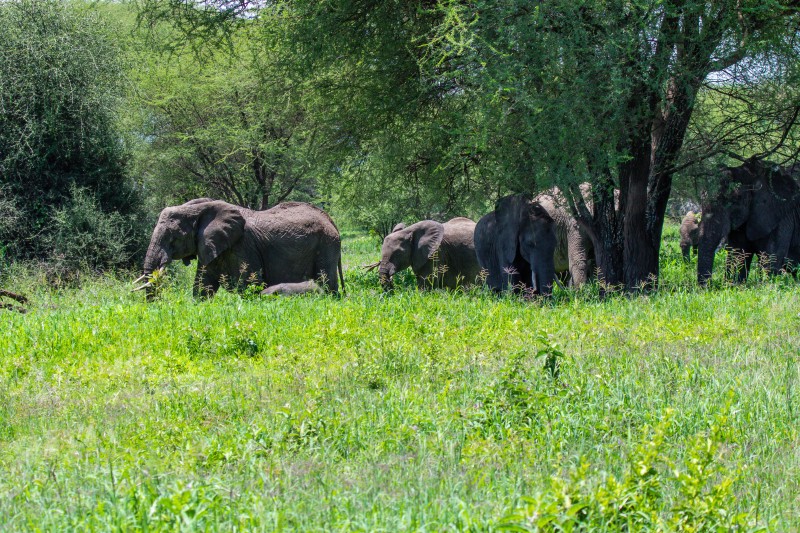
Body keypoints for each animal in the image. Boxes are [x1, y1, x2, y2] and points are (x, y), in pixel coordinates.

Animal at [138, 200, 344, 298]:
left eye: (174, 238)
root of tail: (330, 219)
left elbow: (249, 283)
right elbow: (203, 285)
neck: (200, 209)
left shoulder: (244, 246)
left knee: (327, 281)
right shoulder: (210, 245)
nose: (158, 304)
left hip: (327, 244)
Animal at [696, 156, 800, 284]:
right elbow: (739, 255)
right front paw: (735, 284)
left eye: (735, 201)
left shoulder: (782, 216)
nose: (708, 286)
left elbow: (771, 259)